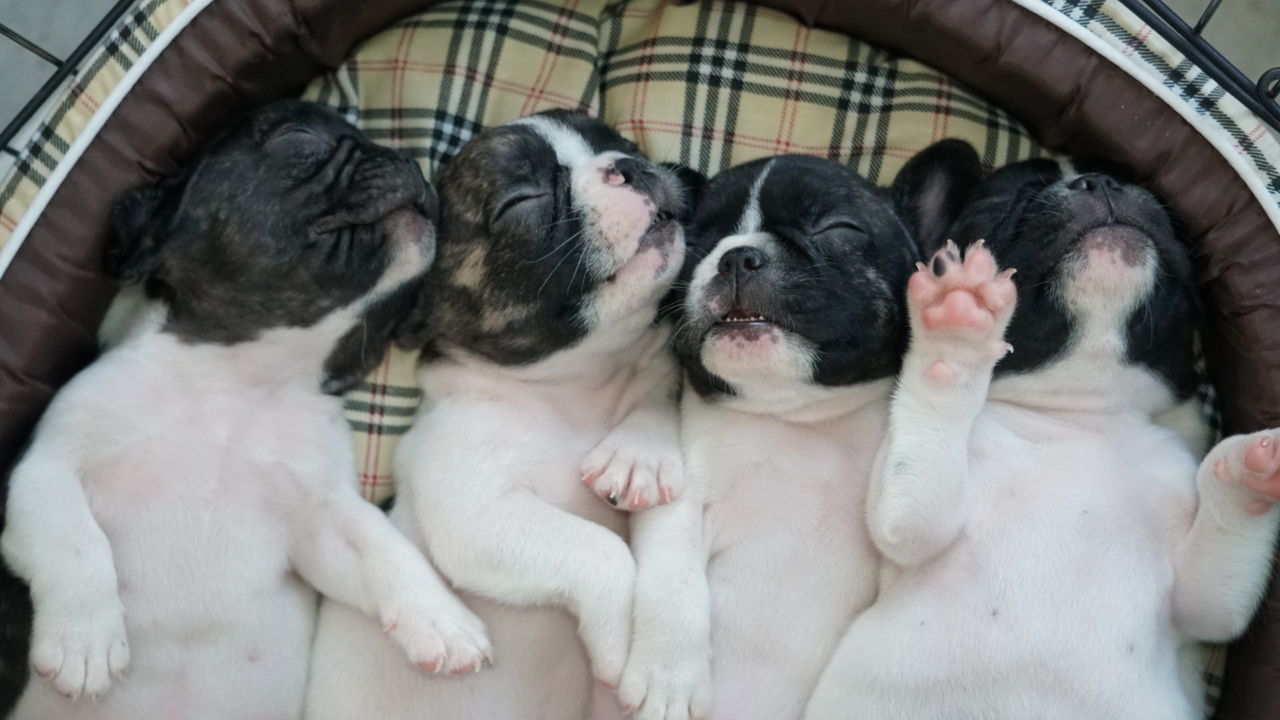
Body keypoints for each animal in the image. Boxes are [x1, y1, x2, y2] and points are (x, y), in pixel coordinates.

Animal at [1, 99, 488, 717]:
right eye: (298, 135)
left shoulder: (323, 515)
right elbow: (73, 540)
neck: (242, 382)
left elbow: (385, 548)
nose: (411, 161)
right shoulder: (44, 464)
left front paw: (443, 618)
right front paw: (83, 643)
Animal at [305, 107, 696, 717]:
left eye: (623, 144)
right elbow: (602, 551)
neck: (572, 391)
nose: (631, 165)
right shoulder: (475, 511)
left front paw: (640, 456)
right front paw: (616, 645)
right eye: (522, 200)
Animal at [614, 155, 926, 717]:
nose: (737, 256)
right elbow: (674, 578)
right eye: (697, 240)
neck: (794, 417)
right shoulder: (683, 505)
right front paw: (667, 679)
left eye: (837, 229)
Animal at [803, 141, 1280, 717]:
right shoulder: (909, 520)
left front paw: (1249, 469)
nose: (1101, 183)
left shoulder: (1198, 602)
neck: (1079, 412)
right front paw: (956, 326)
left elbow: (1213, 595)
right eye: (1013, 198)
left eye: (1135, 184)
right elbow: (918, 491)